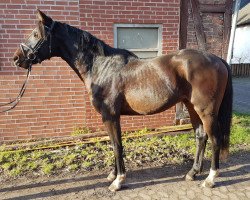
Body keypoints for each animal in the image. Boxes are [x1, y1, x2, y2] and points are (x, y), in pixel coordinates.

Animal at [13, 10, 232, 191]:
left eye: (36, 34)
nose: (16, 58)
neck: (101, 66)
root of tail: (217, 59)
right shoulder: (110, 117)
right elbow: (113, 144)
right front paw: (113, 174)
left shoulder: (110, 115)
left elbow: (117, 145)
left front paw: (118, 181)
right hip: (192, 107)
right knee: (201, 137)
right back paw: (192, 173)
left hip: (206, 111)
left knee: (214, 139)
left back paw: (210, 179)